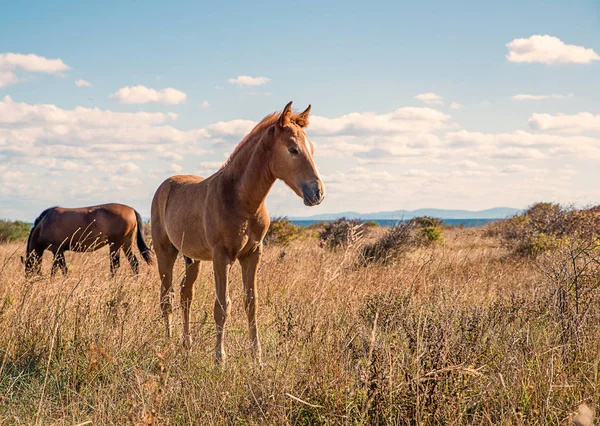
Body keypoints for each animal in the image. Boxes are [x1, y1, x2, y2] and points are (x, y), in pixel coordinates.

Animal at [24, 203, 152, 276]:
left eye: (28, 270)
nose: (28, 281)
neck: (43, 224)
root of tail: (132, 210)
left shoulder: (57, 251)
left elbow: (63, 269)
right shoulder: (58, 252)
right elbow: (55, 269)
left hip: (115, 244)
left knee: (114, 265)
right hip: (125, 244)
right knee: (134, 263)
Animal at [152, 100, 326, 362]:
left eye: (312, 149)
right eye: (293, 150)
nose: (317, 193)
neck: (240, 200)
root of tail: (164, 185)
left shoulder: (252, 254)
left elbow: (251, 303)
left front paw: (257, 357)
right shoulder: (221, 257)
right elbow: (222, 306)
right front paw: (219, 359)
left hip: (192, 258)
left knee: (185, 294)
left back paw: (187, 344)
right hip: (166, 252)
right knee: (167, 296)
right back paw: (169, 343)